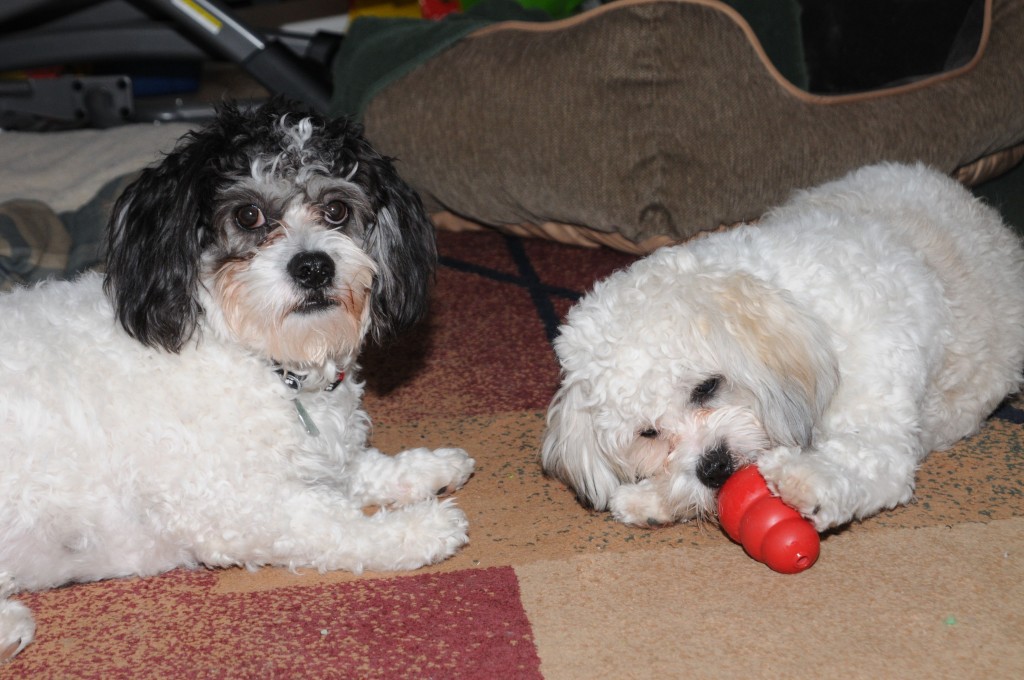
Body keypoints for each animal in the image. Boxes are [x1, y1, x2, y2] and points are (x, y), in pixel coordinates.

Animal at [544, 163, 1024, 536]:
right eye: (648, 433)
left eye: (707, 387)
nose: (714, 466)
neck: (803, 311)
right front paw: (652, 499)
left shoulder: (879, 429)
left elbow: (862, 461)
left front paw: (804, 477)